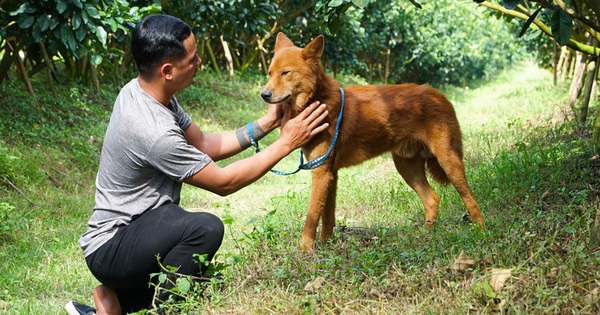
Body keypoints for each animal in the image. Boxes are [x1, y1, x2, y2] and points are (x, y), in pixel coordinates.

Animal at [260, 32, 486, 254]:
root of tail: (439, 95)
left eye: (285, 73)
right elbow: (327, 217)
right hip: (406, 167)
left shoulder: (321, 173)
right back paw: (427, 234)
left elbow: (311, 218)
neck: (318, 99)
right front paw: (326, 244)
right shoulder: (329, 174)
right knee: (432, 199)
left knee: (470, 199)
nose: (264, 95)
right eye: (270, 73)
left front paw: (305, 249)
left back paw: (481, 230)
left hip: (448, 161)